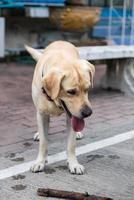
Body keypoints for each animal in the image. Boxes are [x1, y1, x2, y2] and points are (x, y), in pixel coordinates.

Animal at [25, 41, 94, 174]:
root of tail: (61, 41)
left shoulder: (71, 117)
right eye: (71, 92)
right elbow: (44, 142)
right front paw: (40, 162)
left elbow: (71, 145)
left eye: (88, 89)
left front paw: (73, 163)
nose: (88, 113)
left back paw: (78, 133)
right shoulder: (41, 113)